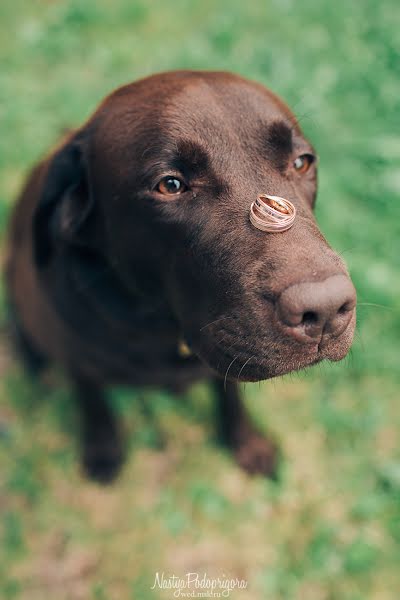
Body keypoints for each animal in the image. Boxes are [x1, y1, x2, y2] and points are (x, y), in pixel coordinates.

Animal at [4, 71, 356, 482]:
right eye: (170, 185)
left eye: (301, 162)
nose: (326, 309)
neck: (164, 329)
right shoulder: (78, 358)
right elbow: (93, 401)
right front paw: (103, 451)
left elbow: (230, 393)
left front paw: (247, 442)